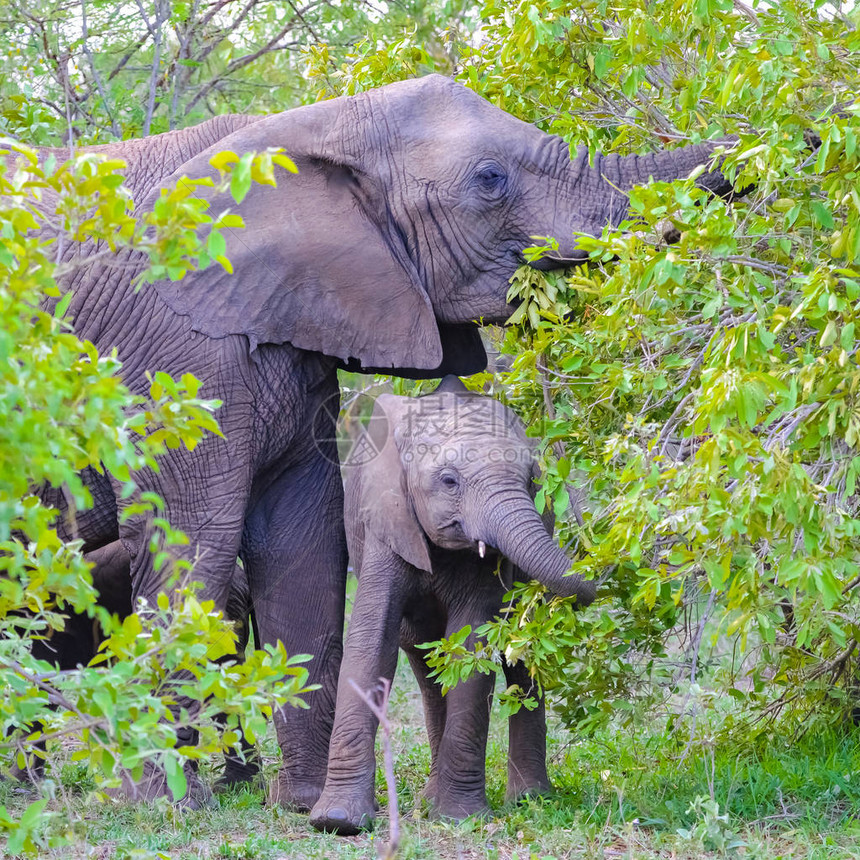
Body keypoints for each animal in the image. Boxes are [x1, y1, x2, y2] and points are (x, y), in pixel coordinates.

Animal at [310, 376, 596, 832]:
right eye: (448, 481)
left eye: (530, 479)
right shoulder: (385, 524)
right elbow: (372, 642)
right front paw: (338, 822)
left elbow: (471, 646)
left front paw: (460, 818)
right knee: (425, 663)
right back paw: (430, 800)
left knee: (519, 654)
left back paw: (530, 800)